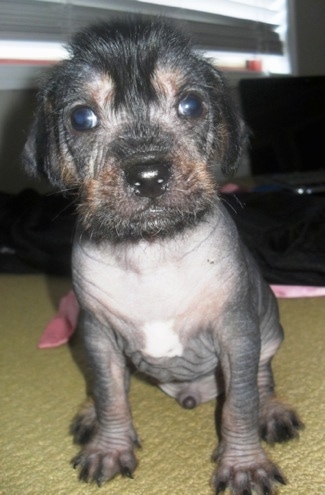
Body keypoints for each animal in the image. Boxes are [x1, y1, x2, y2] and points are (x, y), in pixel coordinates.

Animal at [24, 17, 302, 494]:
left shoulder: (238, 334)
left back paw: (272, 408)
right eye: (81, 118)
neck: (150, 251)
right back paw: (89, 413)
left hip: (267, 331)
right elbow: (110, 393)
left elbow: (240, 405)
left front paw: (244, 465)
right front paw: (109, 445)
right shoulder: (98, 335)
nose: (148, 175)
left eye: (191, 105)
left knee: (262, 378)